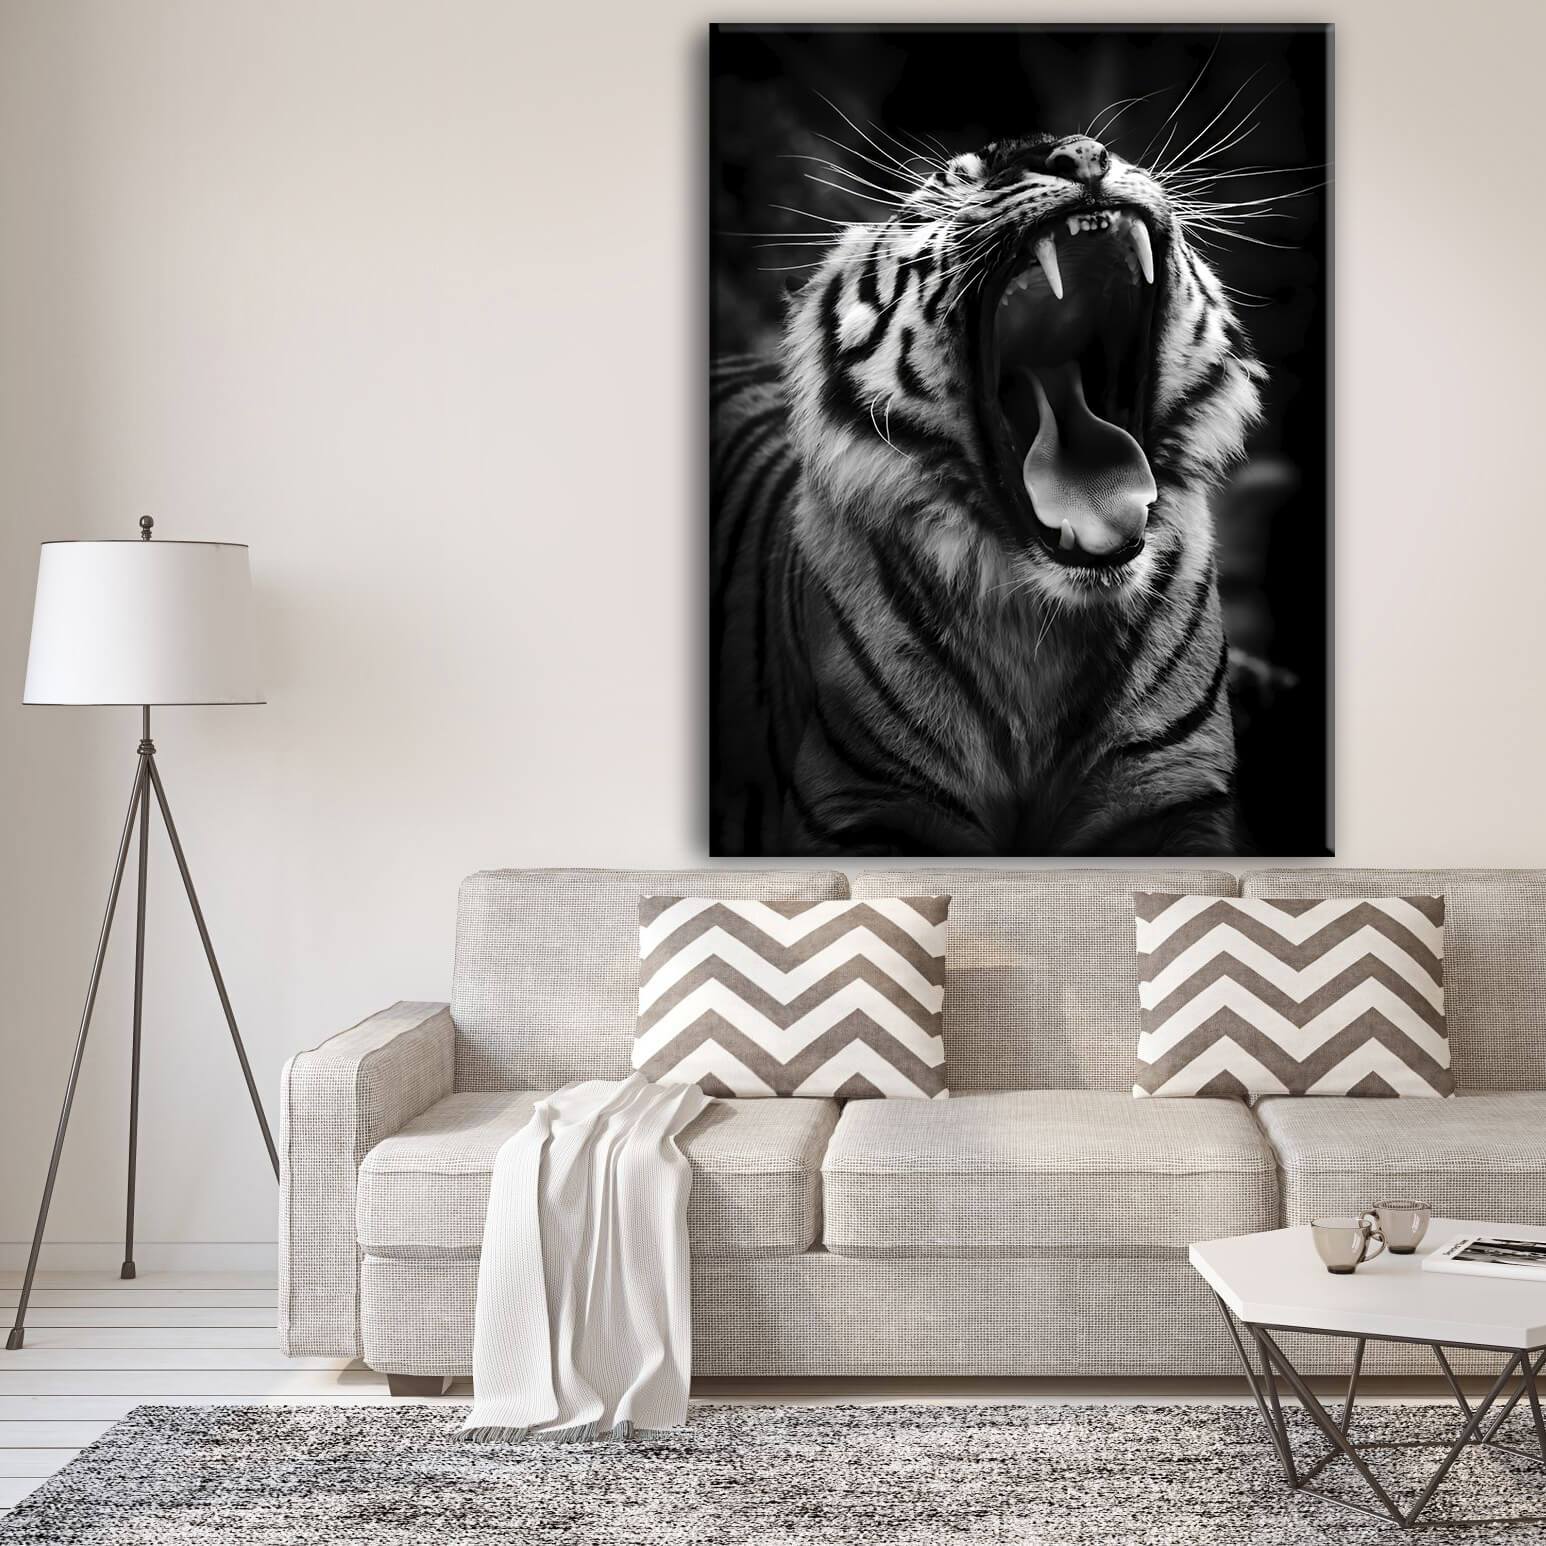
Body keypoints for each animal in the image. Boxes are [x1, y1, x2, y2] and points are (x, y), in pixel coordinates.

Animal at [710, 130, 1267, 857]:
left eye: (1105, 153)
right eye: (957, 177)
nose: (1081, 156)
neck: (1043, 623)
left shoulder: (1174, 791)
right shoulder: (869, 803)